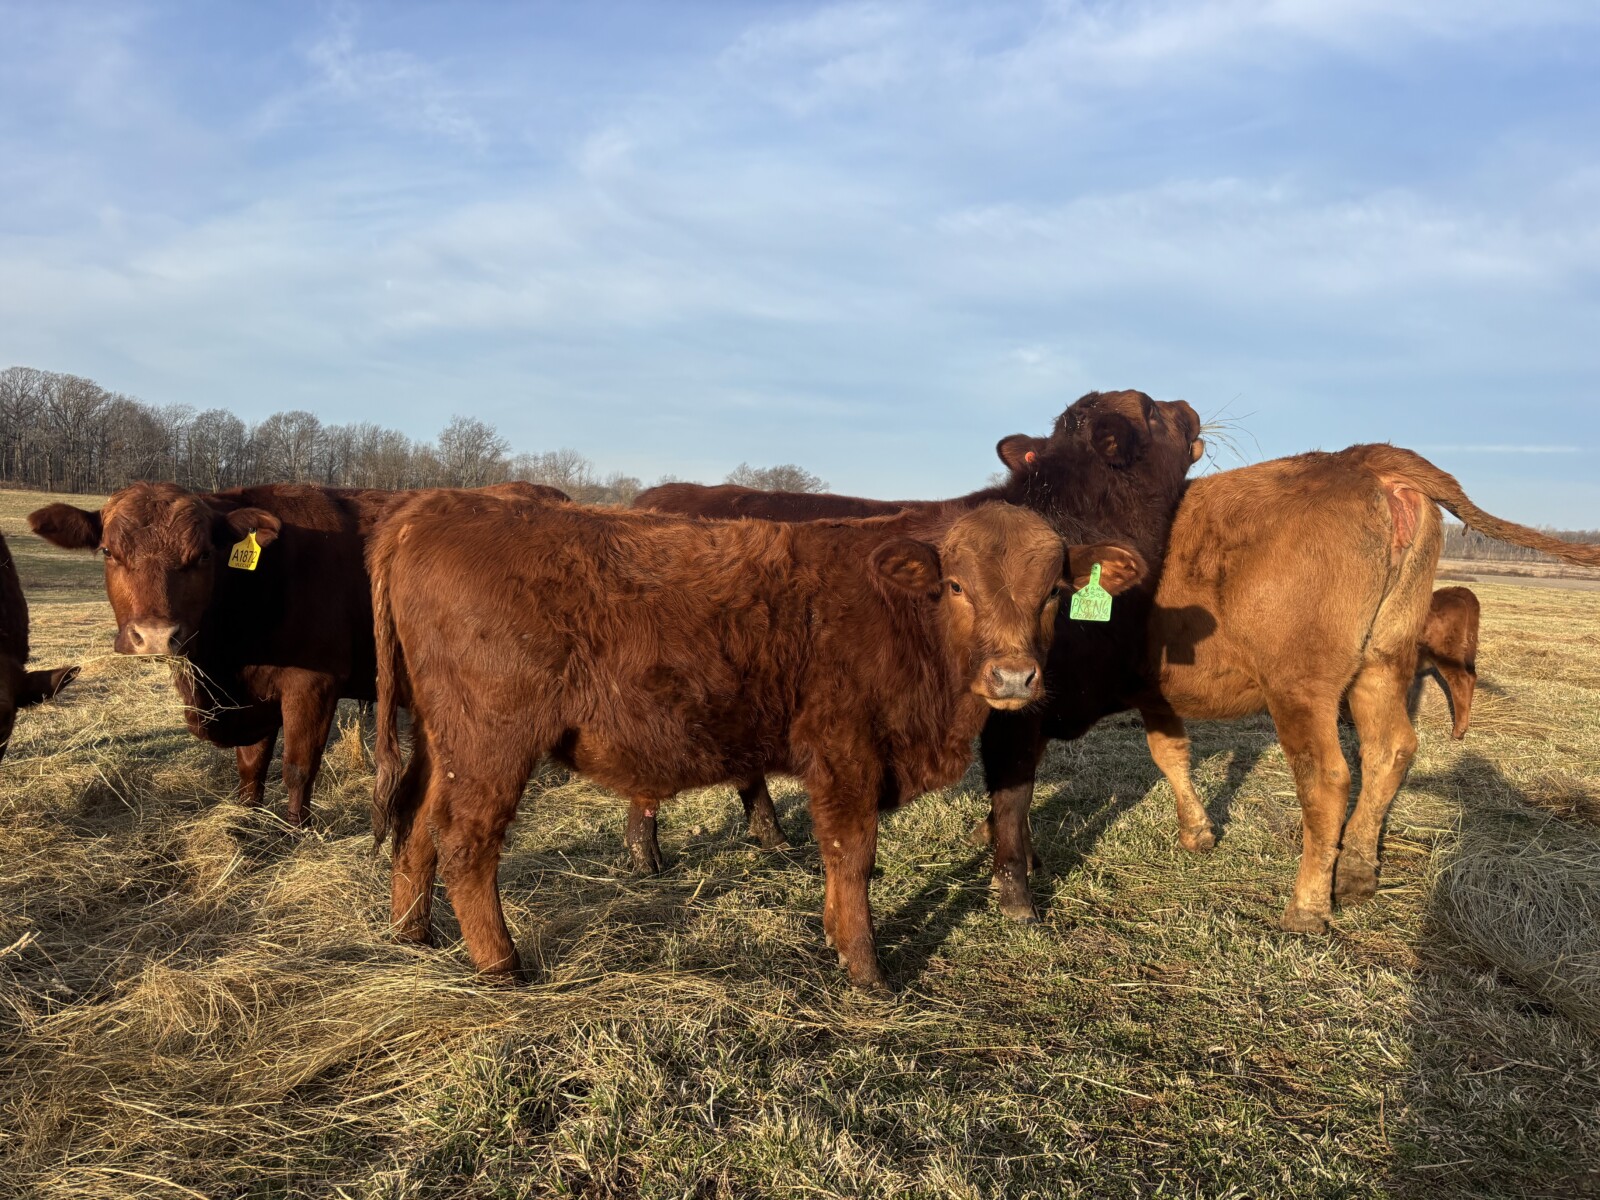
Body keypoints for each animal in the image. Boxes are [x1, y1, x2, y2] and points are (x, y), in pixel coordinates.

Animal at [28, 480, 566, 824]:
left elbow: (297, 767)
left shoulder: (313, 684)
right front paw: (246, 816)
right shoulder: (253, 697)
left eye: (201, 555)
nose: (156, 636)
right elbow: (251, 766)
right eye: (109, 552)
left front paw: (294, 832)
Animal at [368, 493, 1147, 990]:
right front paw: (867, 970)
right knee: (466, 842)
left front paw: (837, 940)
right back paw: (501, 966)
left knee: (416, 826)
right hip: (491, 742)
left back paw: (413, 936)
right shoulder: (844, 752)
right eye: (956, 585)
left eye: (1054, 591)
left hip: (443, 741)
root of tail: (429, 509)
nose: (1014, 676)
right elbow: (852, 854)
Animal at [636, 389, 1205, 917]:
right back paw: (646, 858)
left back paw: (771, 837)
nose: (1190, 406)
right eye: (1152, 408)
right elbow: (1013, 798)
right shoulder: (1013, 709)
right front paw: (1016, 896)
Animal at [1137, 447, 1600, 933]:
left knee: (1326, 779)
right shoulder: (1153, 693)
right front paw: (1197, 832)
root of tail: (1359, 458)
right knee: (1389, 749)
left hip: (1299, 683)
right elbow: (1170, 751)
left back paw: (1307, 908)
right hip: (1383, 659)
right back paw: (1356, 872)